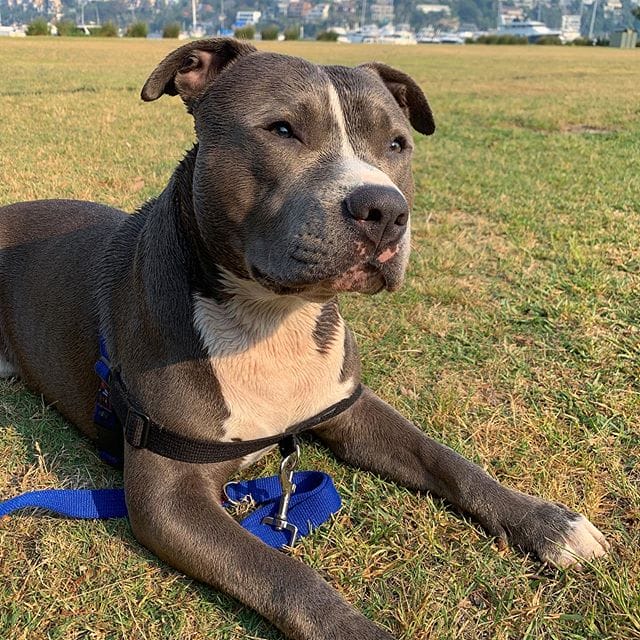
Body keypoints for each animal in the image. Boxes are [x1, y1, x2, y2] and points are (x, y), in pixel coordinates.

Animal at [0, 39, 608, 639]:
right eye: (282, 130)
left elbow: (446, 460)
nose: (385, 210)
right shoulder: (167, 495)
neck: (273, 318)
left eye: (397, 143)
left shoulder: (349, 407)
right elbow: (284, 574)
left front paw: (547, 522)